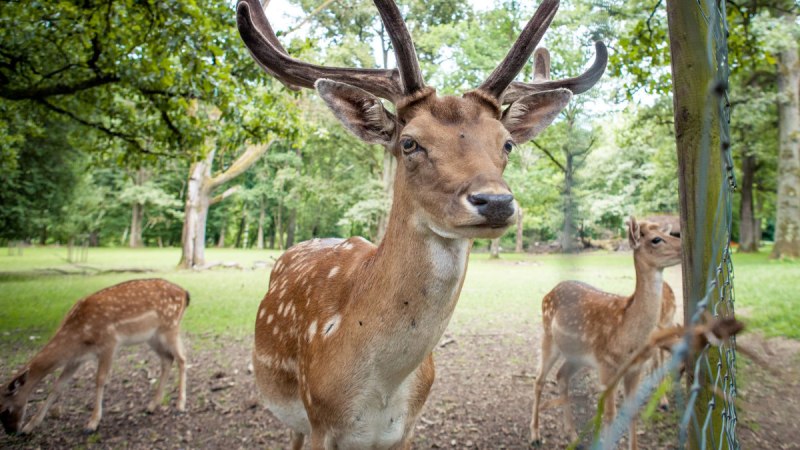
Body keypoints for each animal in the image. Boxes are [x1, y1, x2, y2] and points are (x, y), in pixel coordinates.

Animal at [0, 280, 190, 434]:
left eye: (5, 409)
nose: (11, 431)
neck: (78, 336)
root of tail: (184, 293)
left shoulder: (109, 343)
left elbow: (100, 380)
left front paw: (92, 424)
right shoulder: (76, 358)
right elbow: (57, 386)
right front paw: (30, 426)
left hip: (170, 327)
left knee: (182, 358)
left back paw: (180, 405)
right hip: (152, 337)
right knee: (167, 359)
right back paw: (152, 405)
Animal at [236, 0, 608, 446]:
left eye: (506, 143)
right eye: (410, 142)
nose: (495, 202)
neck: (378, 391)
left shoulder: (406, 430)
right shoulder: (320, 424)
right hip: (294, 417)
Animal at [532, 216, 680, 448]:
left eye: (670, 234)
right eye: (656, 239)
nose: (683, 247)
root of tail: (548, 293)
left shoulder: (635, 369)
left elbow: (631, 413)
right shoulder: (607, 366)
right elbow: (610, 415)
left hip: (576, 357)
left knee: (561, 376)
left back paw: (572, 435)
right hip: (548, 338)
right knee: (539, 380)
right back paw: (535, 436)